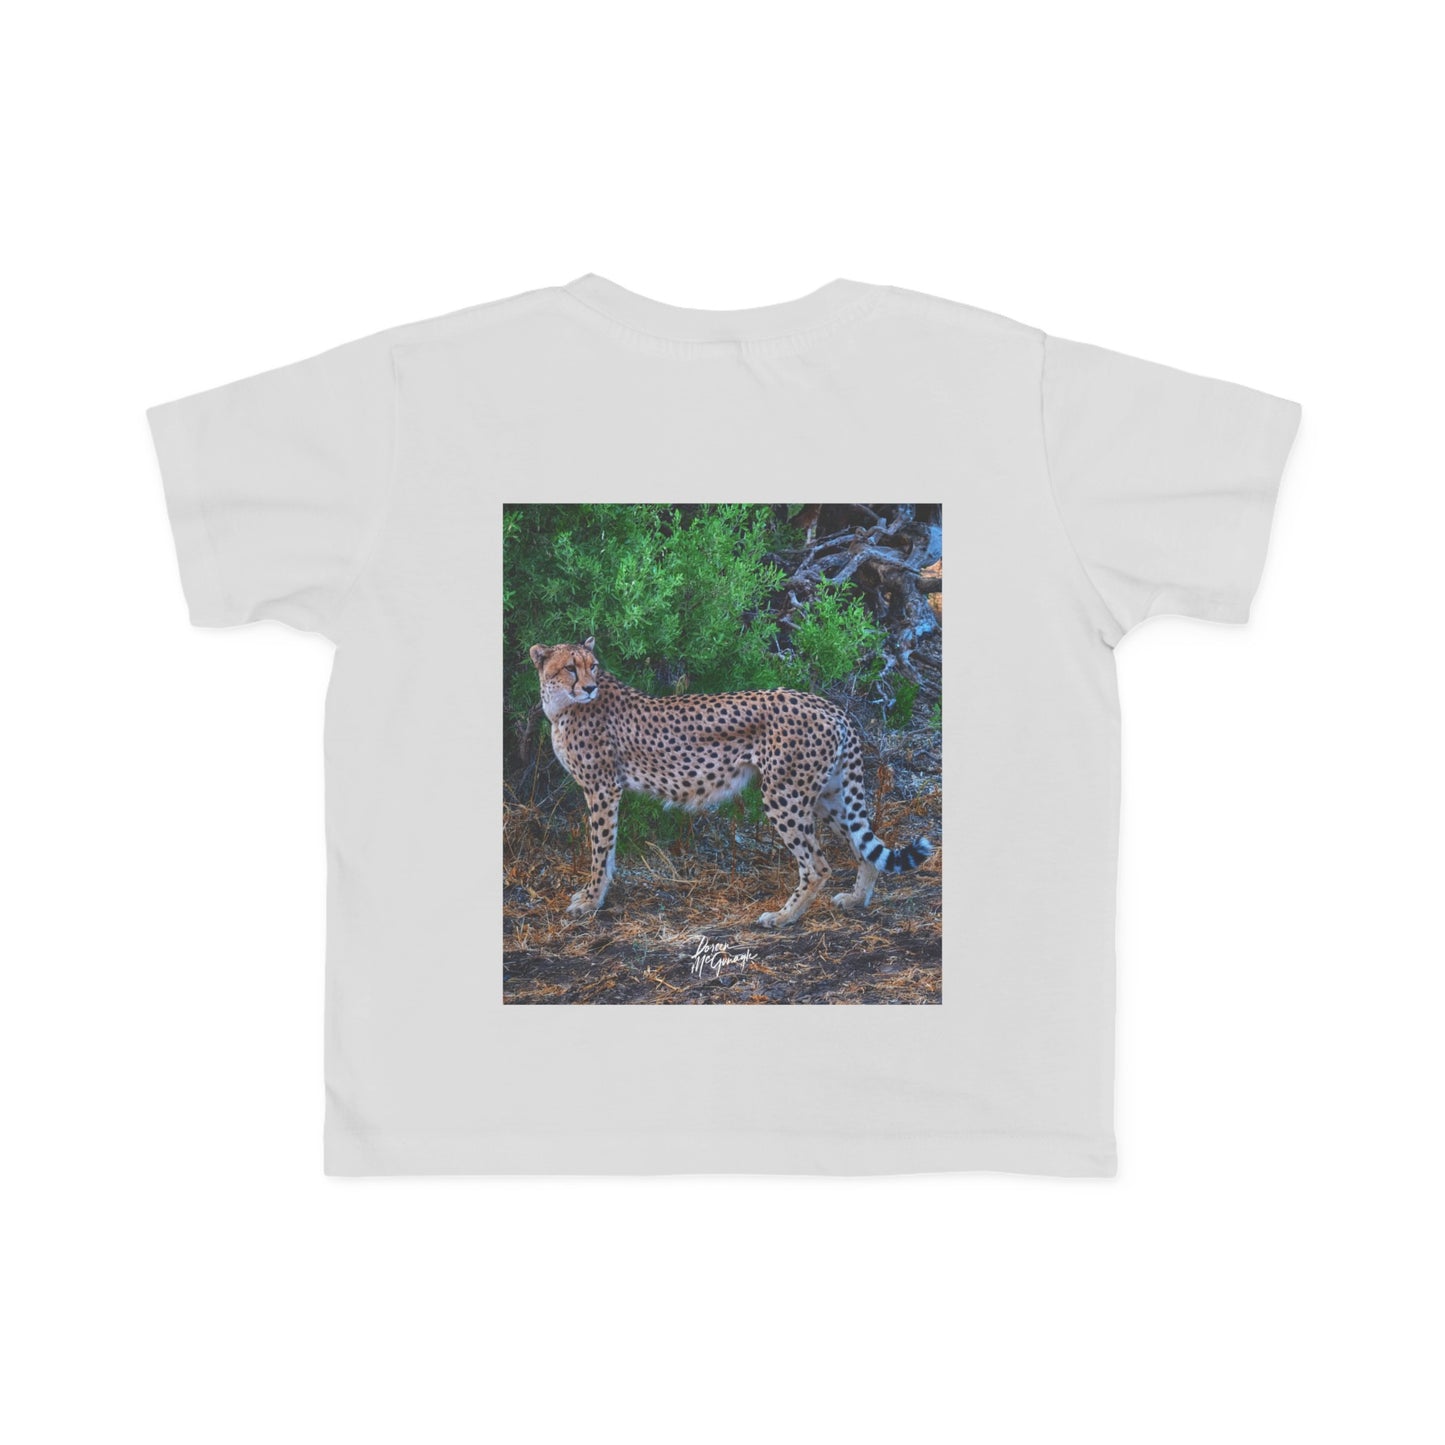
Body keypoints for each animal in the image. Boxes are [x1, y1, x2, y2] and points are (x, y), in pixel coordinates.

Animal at [529, 637, 934, 926]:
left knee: (818, 865)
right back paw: (855, 900)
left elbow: (600, 848)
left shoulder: (602, 788)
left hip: (783, 794)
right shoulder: (605, 789)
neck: (562, 705)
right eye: (570, 668)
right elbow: (606, 849)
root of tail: (828, 705)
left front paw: (590, 900)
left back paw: (784, 917)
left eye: (592, 666)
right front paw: (593, 896)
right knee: (864, 847)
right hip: (827, 795)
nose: (590, 687)